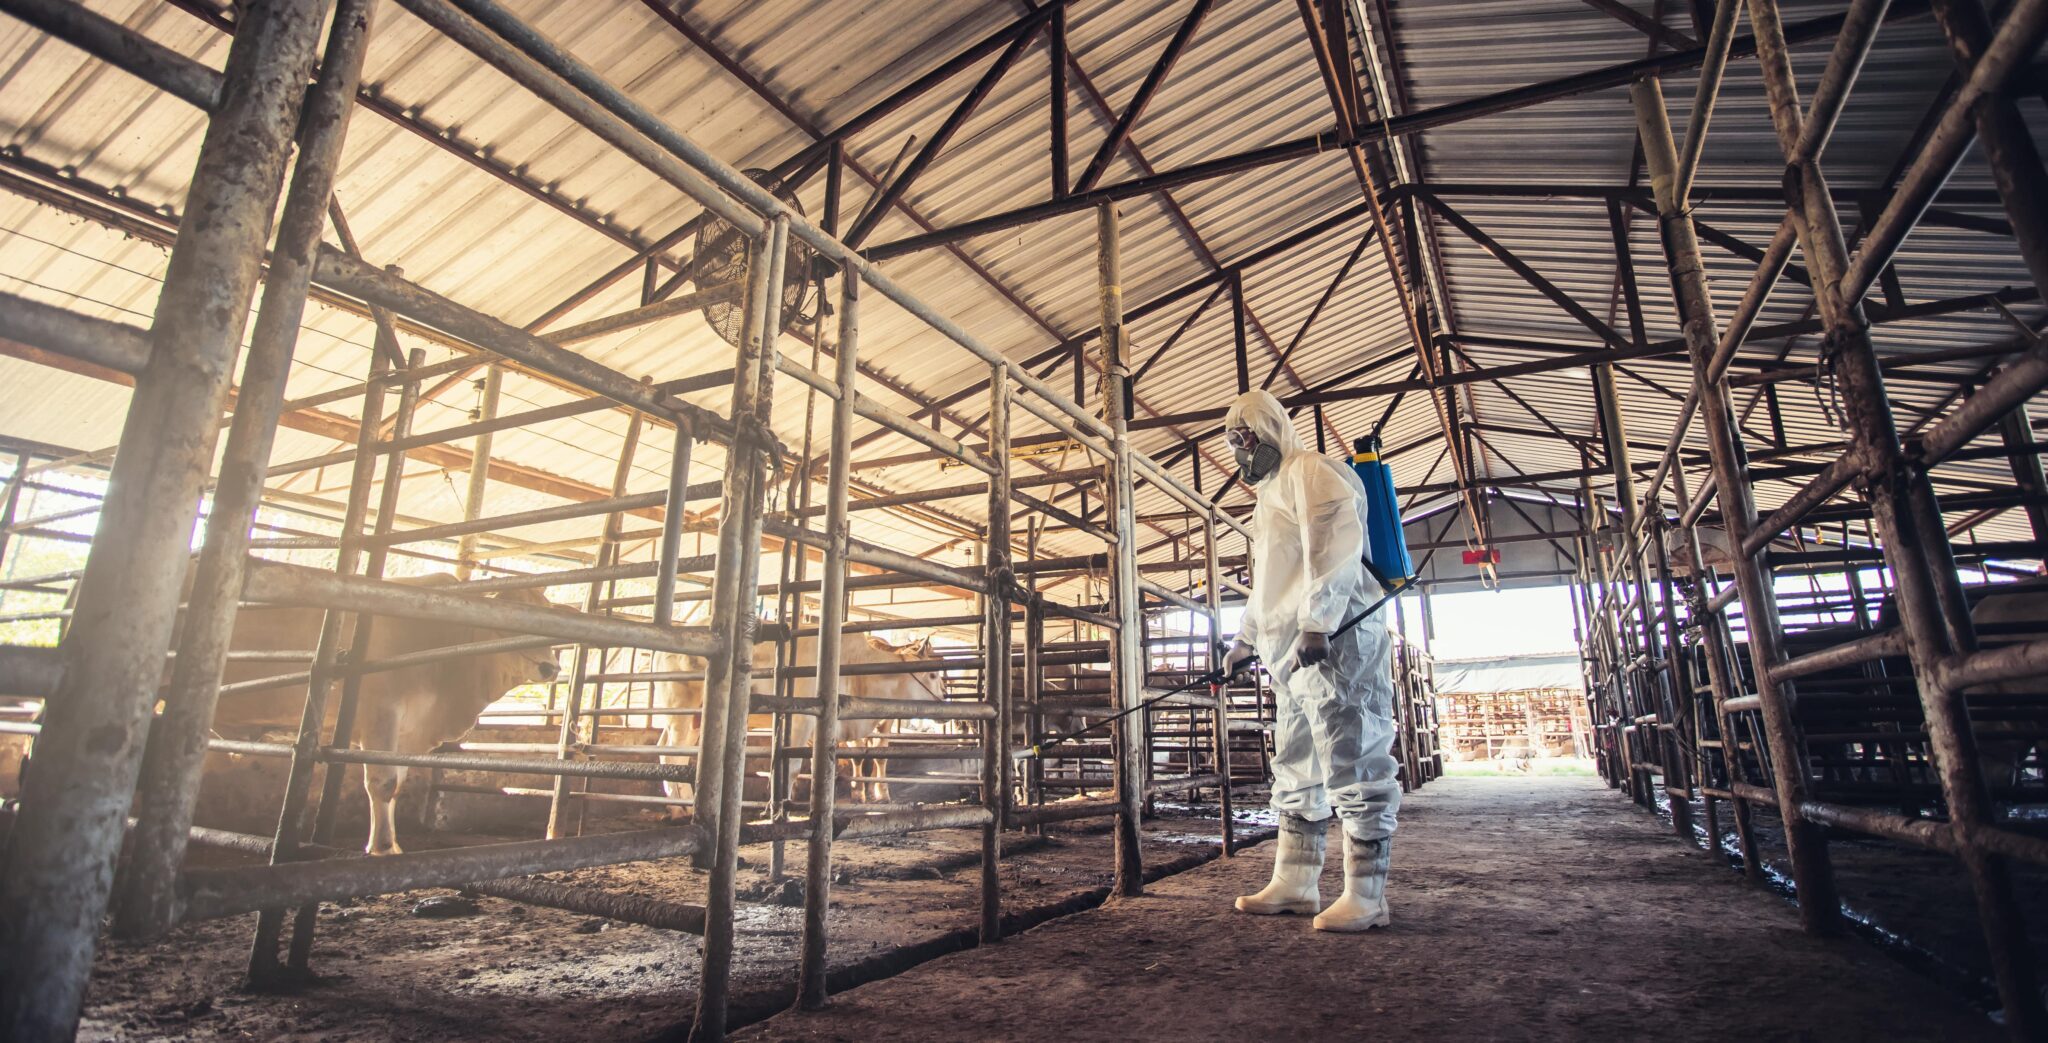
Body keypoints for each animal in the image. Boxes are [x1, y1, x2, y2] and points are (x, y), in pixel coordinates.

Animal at [209, 569, 561, 852]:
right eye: (511, 624)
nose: (551, 667)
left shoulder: (408, 732)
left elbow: (397, 784)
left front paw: (390, 844)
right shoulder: (382, 715)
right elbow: (383, 782)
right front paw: (381, 846)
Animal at [651, 631, 946, 807]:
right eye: (932, 674)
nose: (944, 697)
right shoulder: (800, 720)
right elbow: (791, 765)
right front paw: (780, 805)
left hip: (693, 719)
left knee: (667, 750)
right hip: (682, 712)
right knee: (672, 753)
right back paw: (681, 807)